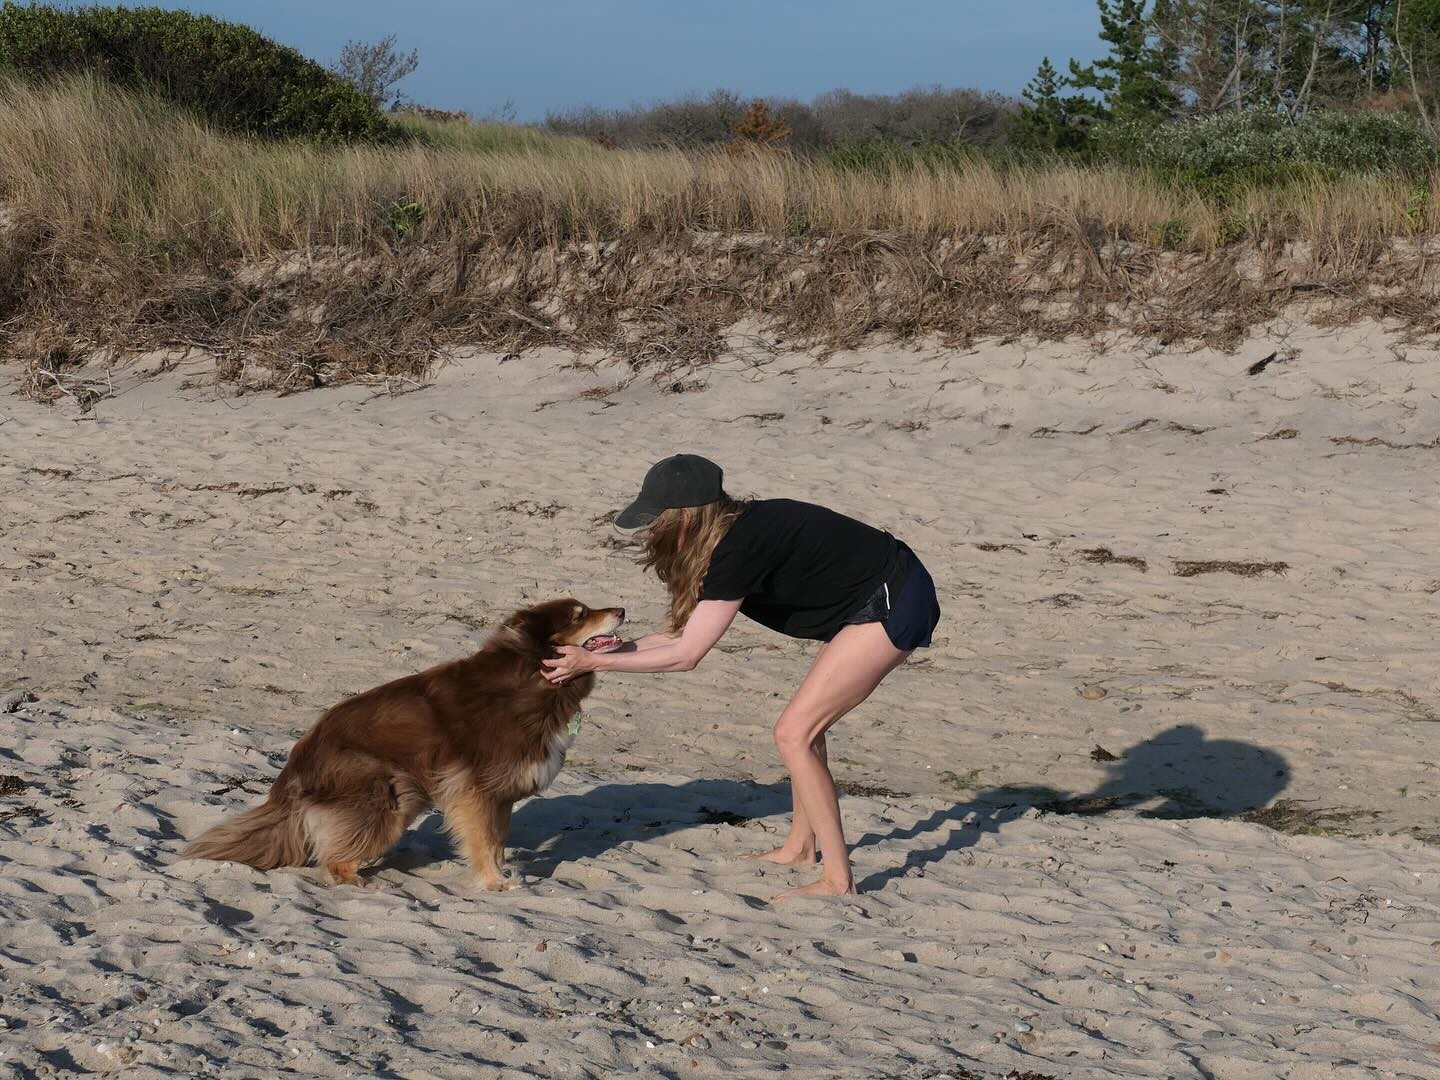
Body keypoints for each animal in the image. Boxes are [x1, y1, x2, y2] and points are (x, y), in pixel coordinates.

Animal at [184, 598, 624, 890]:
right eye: (579, 615)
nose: (621, 610)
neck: (533, 676)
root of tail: (294, 768)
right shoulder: (476, 789)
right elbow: (483, 840)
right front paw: (493, 882)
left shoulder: (500, 793)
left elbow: (498, 840)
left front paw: (501, 872)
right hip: (386, 794)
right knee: (335, 857)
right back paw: (359, 880)